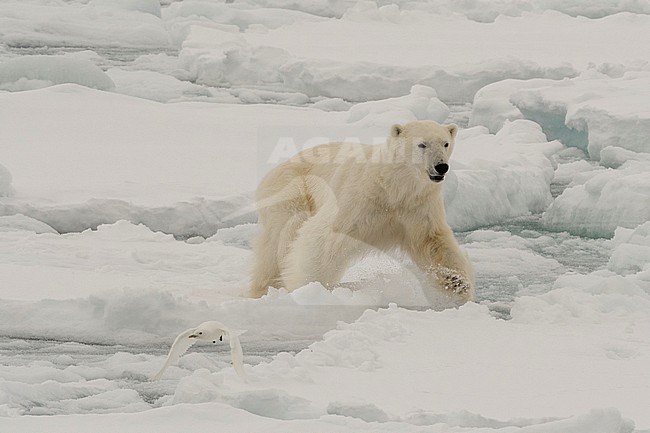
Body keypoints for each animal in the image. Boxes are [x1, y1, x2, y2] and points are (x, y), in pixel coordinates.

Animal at [248, 120, 470, 306]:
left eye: (445, 143)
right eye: (422, 144)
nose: (441, 166)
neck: (393, 186)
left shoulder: (417, 206)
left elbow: (432, 242)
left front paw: (457, 284)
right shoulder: (359, 198)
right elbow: (324, 237)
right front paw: (309, 286)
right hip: (293, 191)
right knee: (281, 238)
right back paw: (264, 289)